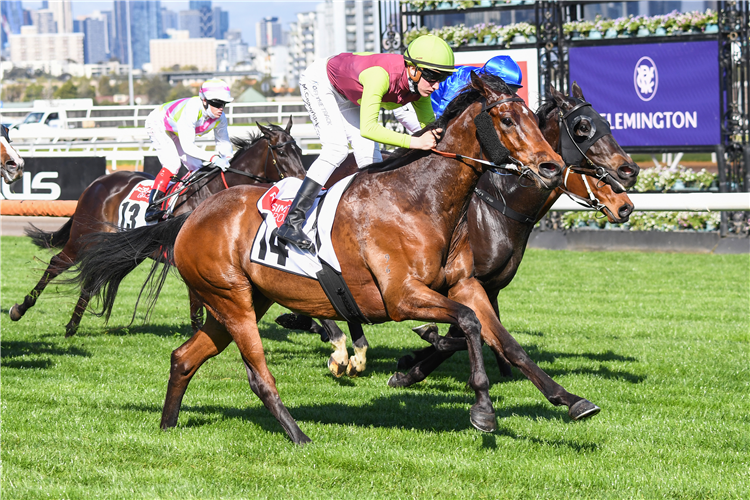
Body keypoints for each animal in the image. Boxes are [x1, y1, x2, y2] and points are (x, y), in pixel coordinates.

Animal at [11, 119, 306, 336]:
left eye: (300, 151)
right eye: (281, 151)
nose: (303, 181)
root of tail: (96, 183)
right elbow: (198, 304)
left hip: (124, 250)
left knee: (92, 277)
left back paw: (72, 326)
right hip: (82, 239)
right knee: (56, 264)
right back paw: (21, 308)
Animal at [67, 72, 596, 444]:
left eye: (535, 119)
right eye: (507, 120)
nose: (551, 167)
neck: (419, 199)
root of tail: (190, 218)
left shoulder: (465, 284)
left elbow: (505, 341)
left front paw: (569, 399)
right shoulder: (401, 296)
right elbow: (466, 324)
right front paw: (482, 408)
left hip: (240, 302)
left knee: (183, 357)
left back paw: (168, 425)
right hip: (234, 302)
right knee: (257, 374)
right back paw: (298, 434)